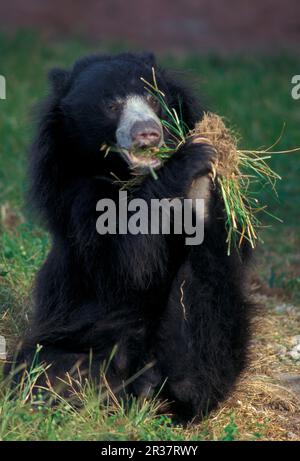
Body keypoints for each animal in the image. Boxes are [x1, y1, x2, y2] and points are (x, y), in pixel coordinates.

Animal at [5, 51, 252, 420]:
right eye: (111, 104)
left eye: (154, 99)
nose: (147, 134)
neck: (129, 176)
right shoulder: (73, 194)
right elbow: (128, 258)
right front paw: (191, 159)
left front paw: (207, 162)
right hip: (75, 334)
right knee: (43, 367)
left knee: (206, 303)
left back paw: (184, 387)